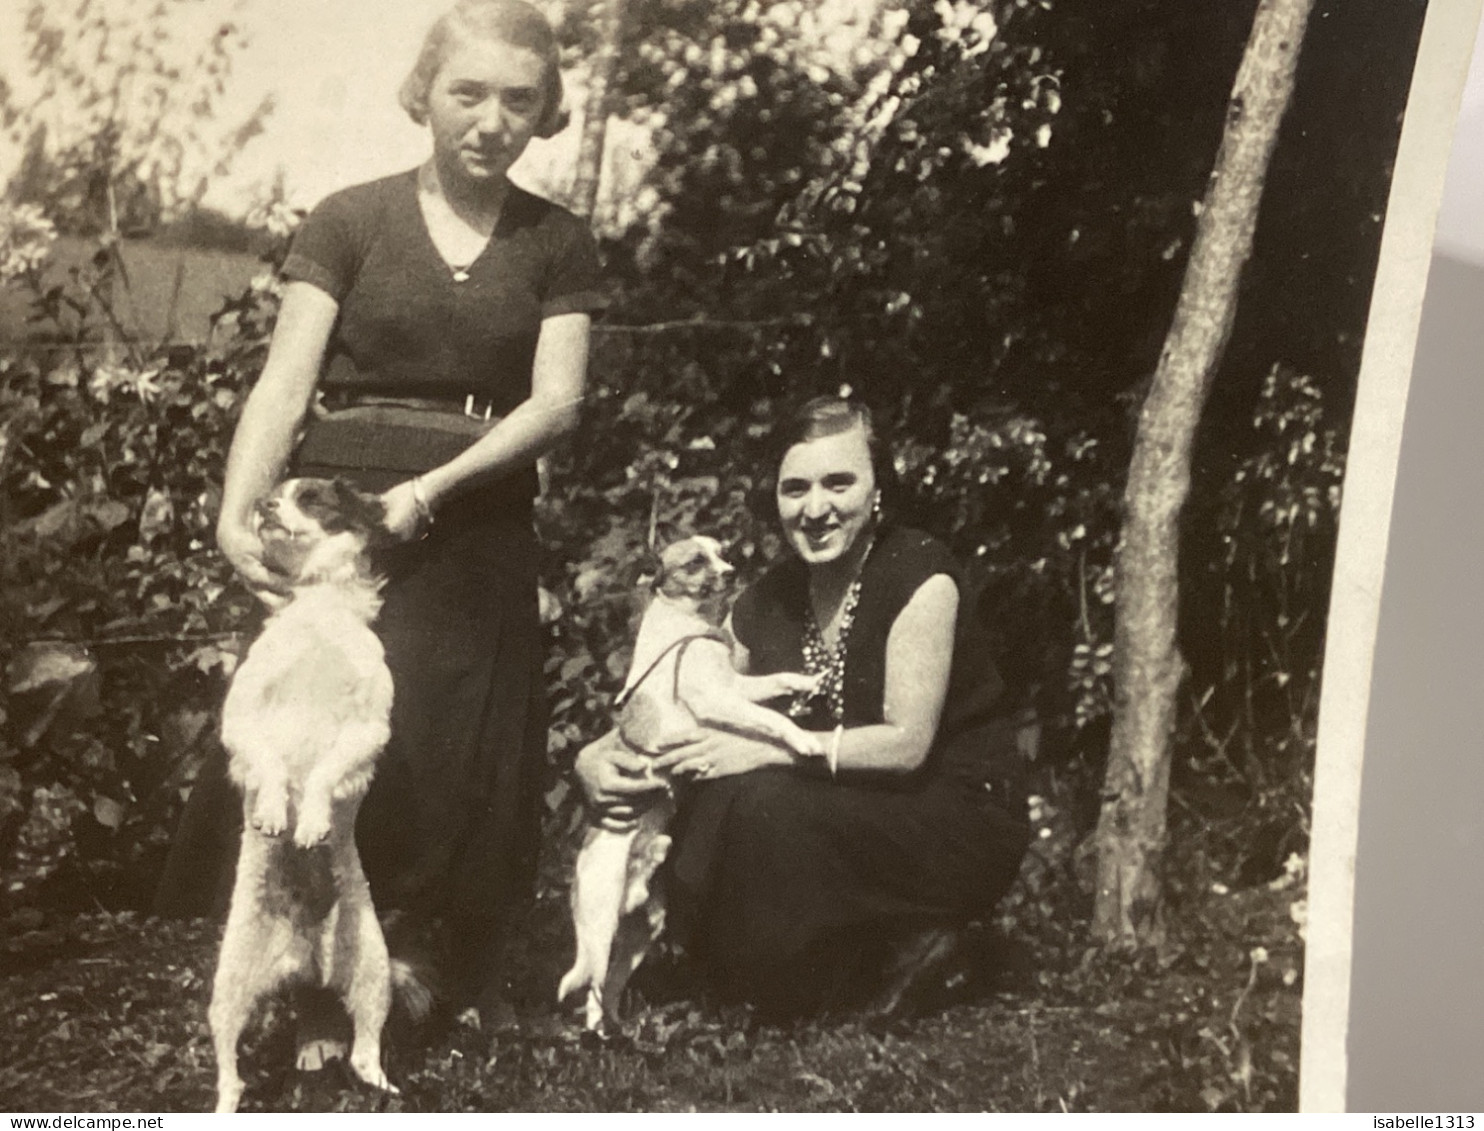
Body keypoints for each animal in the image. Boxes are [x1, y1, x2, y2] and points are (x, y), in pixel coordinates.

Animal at [209, 474, 403, 1110]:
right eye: (274, 491)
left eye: (311, 497)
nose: (263, 504)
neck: (317, 611)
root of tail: (304, 960)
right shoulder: (241, 719)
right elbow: (272, 764)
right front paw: (275, 811)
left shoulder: (368, 729)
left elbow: (321, 774)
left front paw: (313, 821)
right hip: (227, 988)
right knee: (229, 1069)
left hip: (374, 968)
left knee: (366, 1045)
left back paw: (381, 1086)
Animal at [557, 534, 825, 1033]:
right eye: (696, 561)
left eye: (721, 552)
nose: (733, 570)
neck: (688, 626)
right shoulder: (717, 701)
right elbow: (772, 720)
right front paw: (803, 740)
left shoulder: (737, 689)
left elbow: (775, 682)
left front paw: (807, 679)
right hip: (601, 931)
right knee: (593, 990)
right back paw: (597, 1040)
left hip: (641, 935)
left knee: (610, 990)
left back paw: (619, 1033)